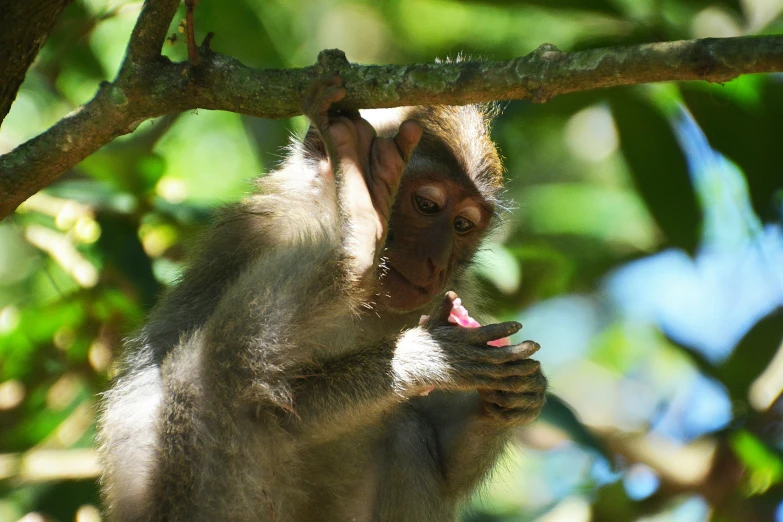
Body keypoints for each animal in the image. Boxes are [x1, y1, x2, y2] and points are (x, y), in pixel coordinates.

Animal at [98, 74, 548, 520]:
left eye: (462, 225)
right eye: (426, 204)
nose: (436, 262)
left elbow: (448, 464)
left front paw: (513, 401)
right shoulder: (269, 234)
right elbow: (280, 408)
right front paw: (424, 358)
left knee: (407, 431)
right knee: (222, 367)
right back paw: (359, 234)